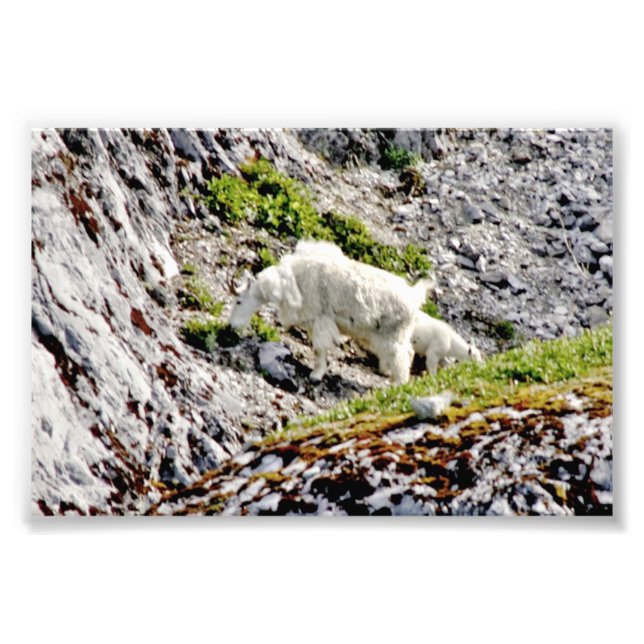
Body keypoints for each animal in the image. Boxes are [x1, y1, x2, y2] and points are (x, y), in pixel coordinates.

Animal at [229, 241, 430, 383]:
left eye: (239, 301)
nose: (231, 326)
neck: (291, 281)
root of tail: (414, 298)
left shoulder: (321, 320)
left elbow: (319, 349)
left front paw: (316, 374)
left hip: (393, 333)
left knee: (403, 355)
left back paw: (397, 385)